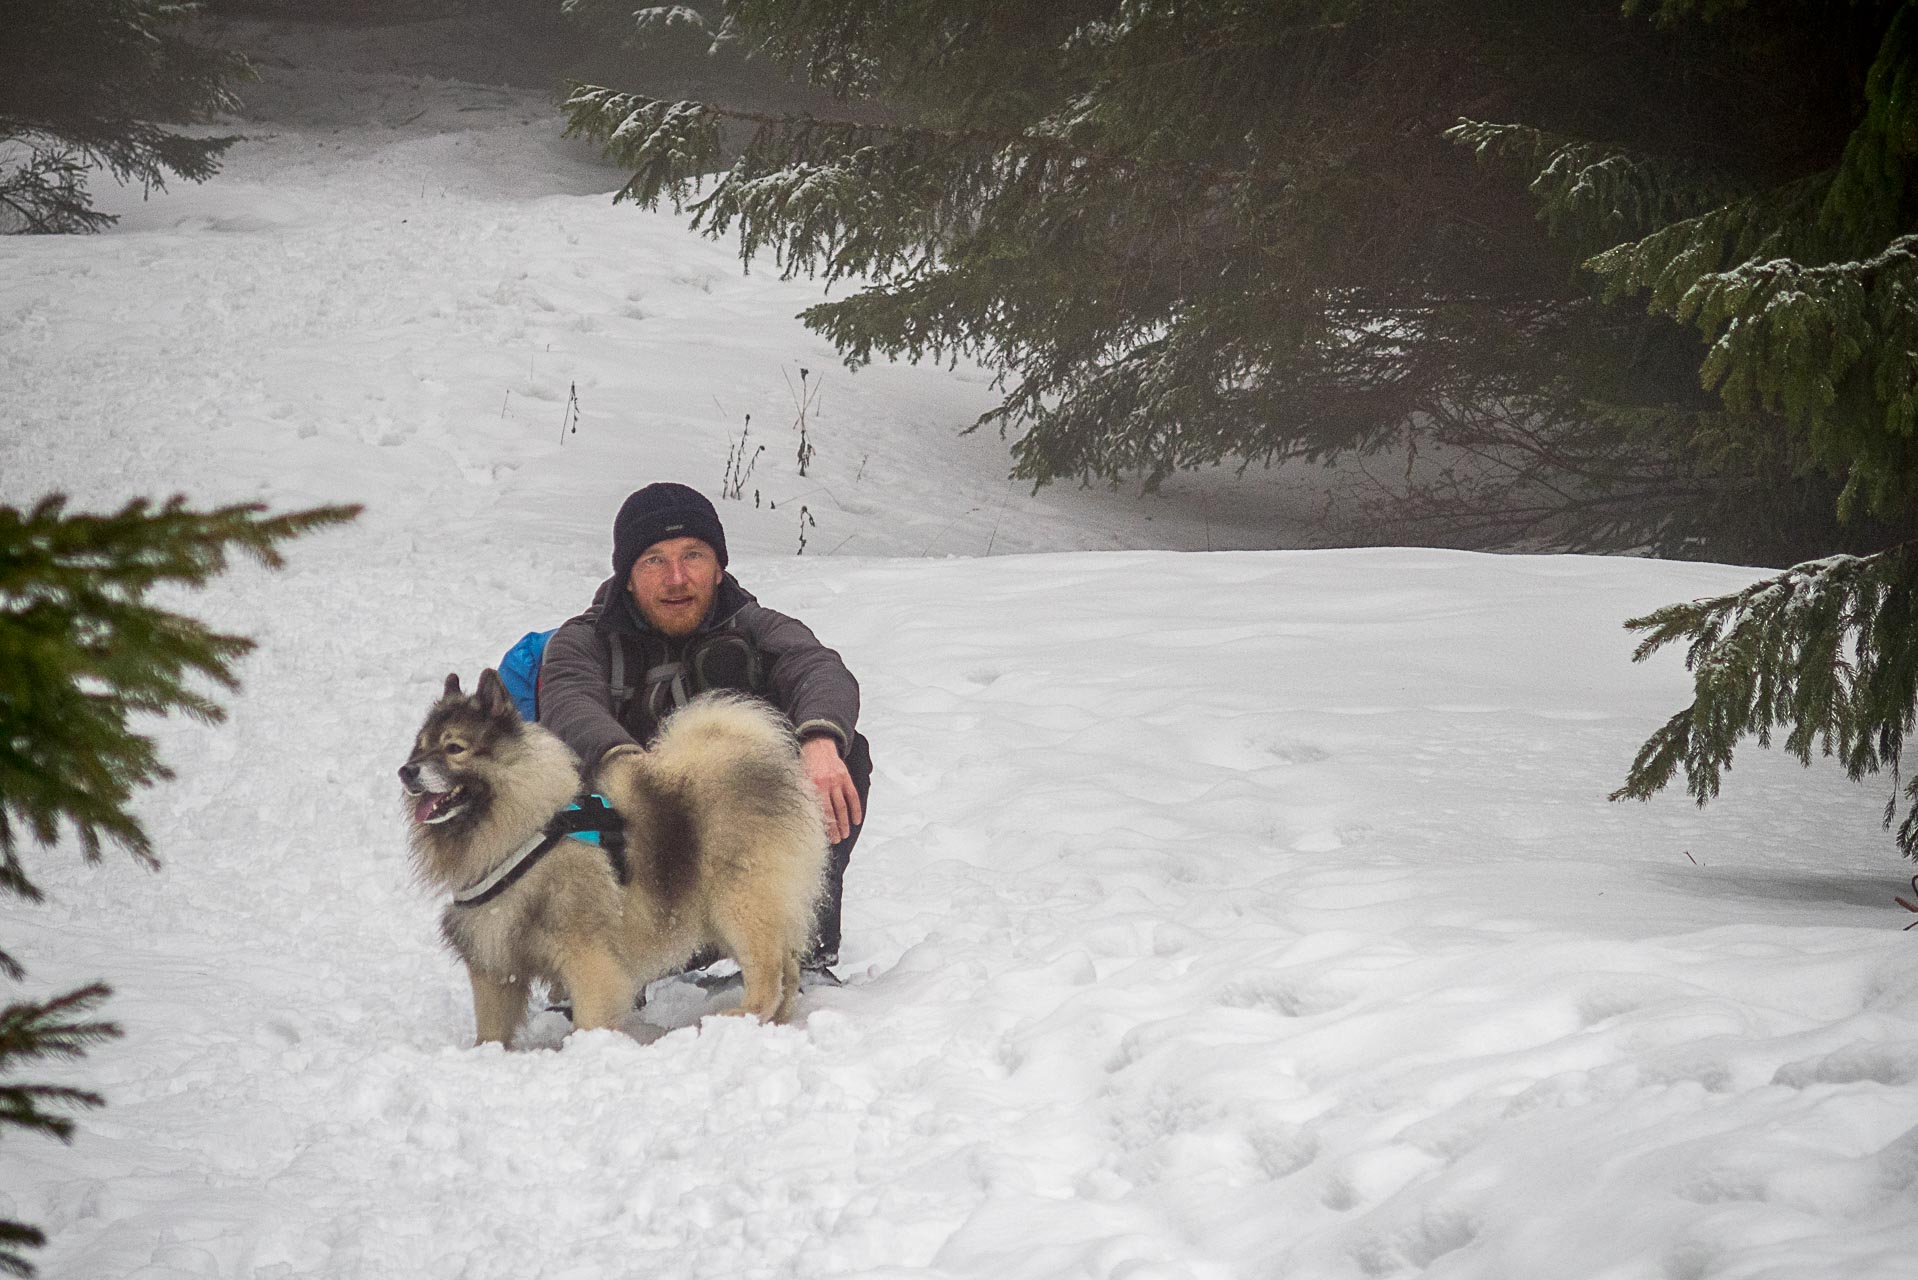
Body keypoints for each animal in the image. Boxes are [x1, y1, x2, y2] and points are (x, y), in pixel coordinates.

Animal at [400, 671, 828, 1043]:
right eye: (420, 747)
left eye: (454, 748)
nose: (406, 772)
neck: (524, 828)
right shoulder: (493, 960)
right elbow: (491, 1030)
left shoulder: (585, 955)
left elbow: (592, 1015)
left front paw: (588, 1049)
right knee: (788, 973)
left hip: (740, 906)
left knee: (768, 977)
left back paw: (735, 1018)